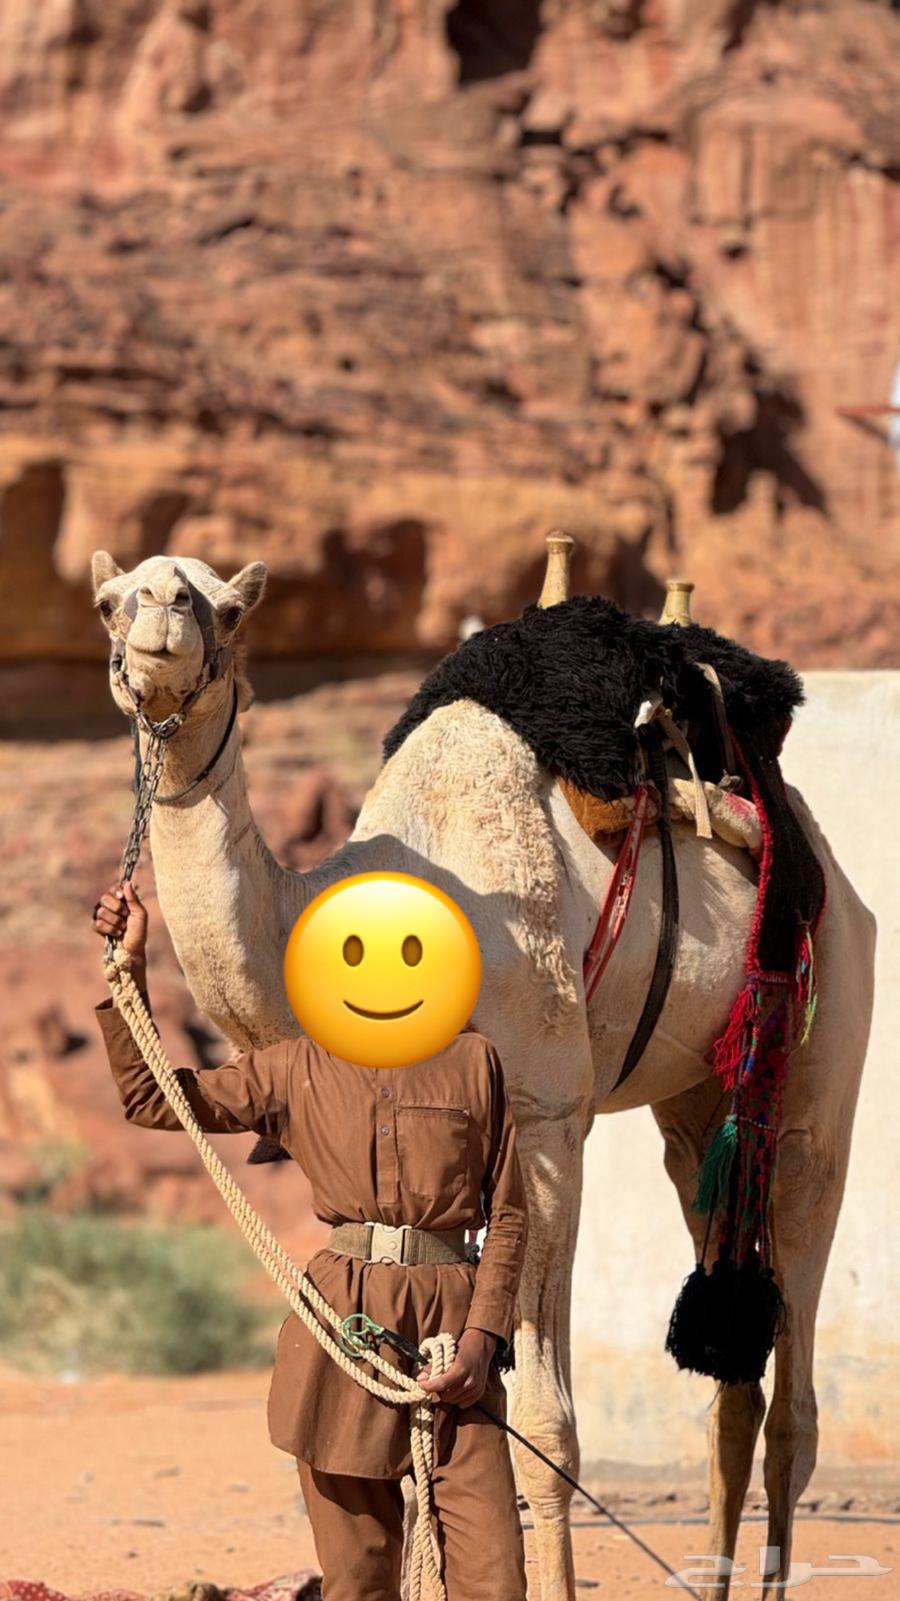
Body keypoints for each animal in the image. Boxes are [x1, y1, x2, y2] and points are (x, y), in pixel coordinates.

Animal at [91, 543, 875, 1600]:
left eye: (227, 606)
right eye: (108, 599)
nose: (163, 616)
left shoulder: (544, 1112)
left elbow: (543, 1420)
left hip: (824, 1027)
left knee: (796, 1370)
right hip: (697, 1098)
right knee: (732, 1365)